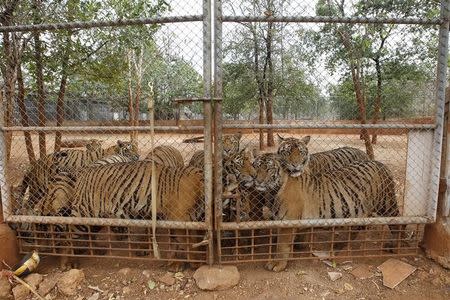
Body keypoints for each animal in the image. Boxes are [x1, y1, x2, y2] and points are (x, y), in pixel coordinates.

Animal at [253, 155, 404, 272]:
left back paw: (395, 246)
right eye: (256, 167)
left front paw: (278, 265)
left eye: (268, 169)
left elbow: (282, 246)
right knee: (357, 227)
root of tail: (380, 164)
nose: (257, 181)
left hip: (386, 204)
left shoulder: (287, 223)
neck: (273, 191)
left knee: (398, 223)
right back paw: (340, 245)